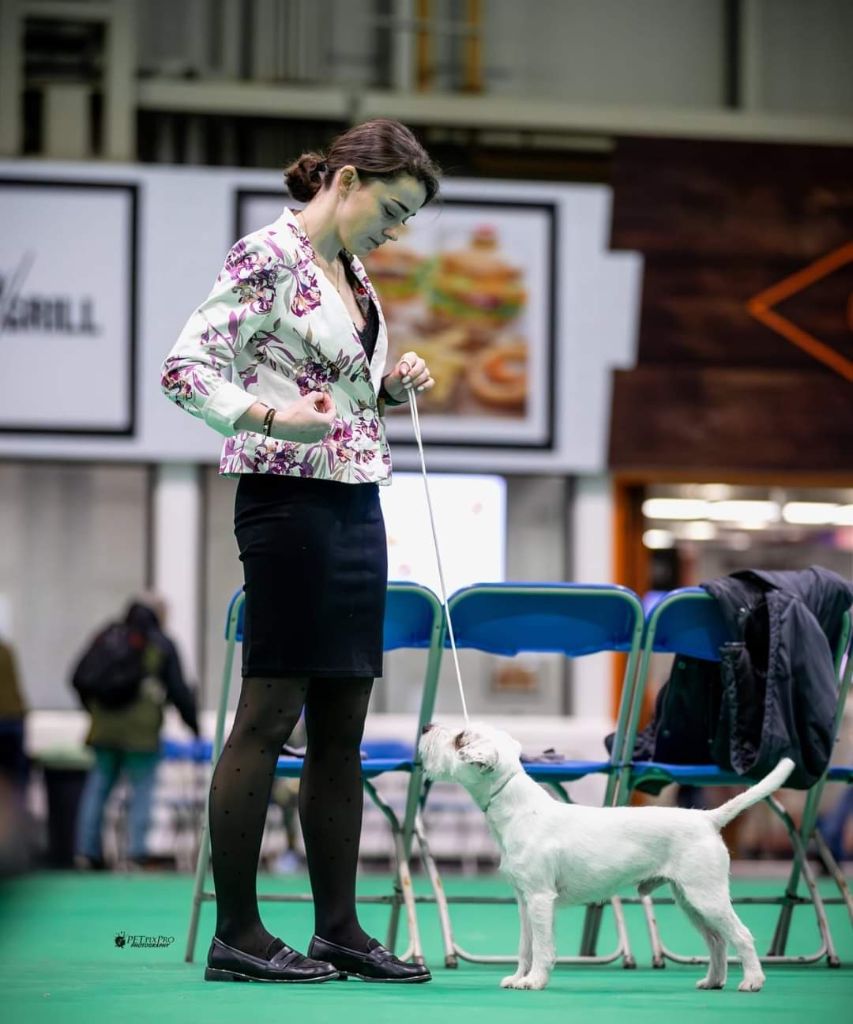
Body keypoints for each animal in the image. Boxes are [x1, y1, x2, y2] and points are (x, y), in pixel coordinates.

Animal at [417, 720, 790, 991]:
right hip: (690, 901)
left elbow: (542, 947)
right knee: (716, 941)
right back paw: (712, 982)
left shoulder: (540, 898)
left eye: (461, 739)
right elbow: (525, 946)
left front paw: (534, 981)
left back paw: (752, 981)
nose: (426, 727)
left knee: (741, 936)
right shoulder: (524, 900)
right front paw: (518, 977)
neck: (516, 807)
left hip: (707, 897)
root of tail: (707, 818)